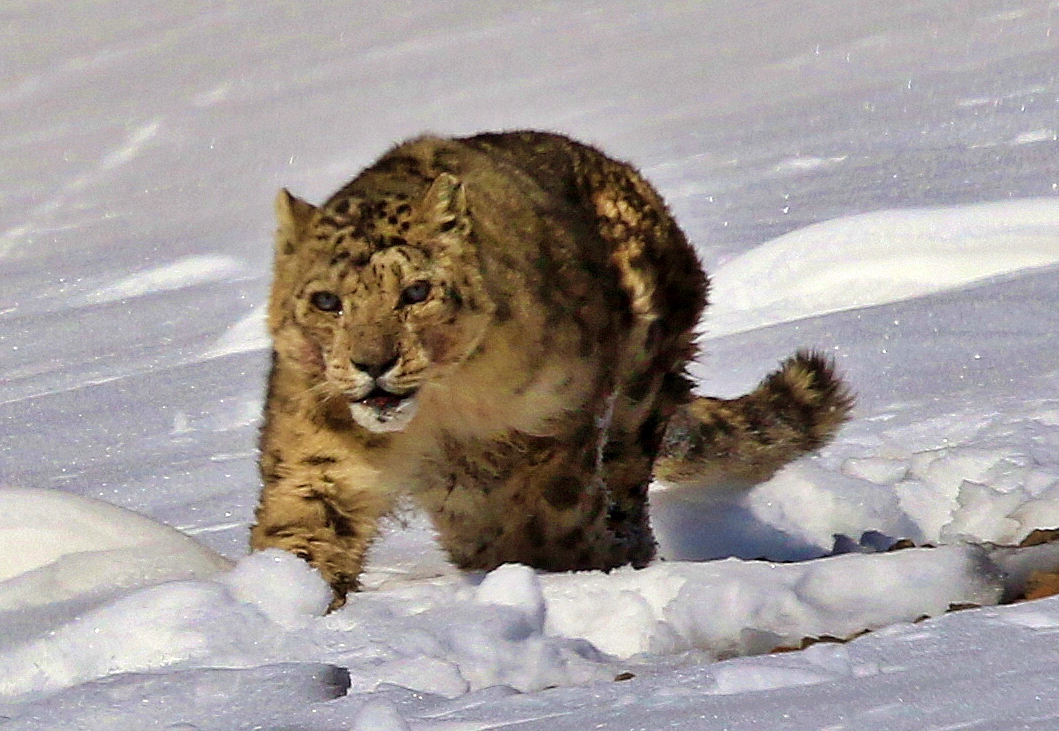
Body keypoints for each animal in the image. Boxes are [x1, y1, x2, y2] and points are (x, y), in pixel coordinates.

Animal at [250, 130, 853, 609]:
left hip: (637, 393)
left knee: (623, 483)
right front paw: (281, 607)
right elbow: (301, 533)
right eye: (327, 301)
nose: (372, 363)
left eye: (416, 292)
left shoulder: (554, 420)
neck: (439, 414)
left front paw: (561, 576)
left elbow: (550, 513)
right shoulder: (319, 459)